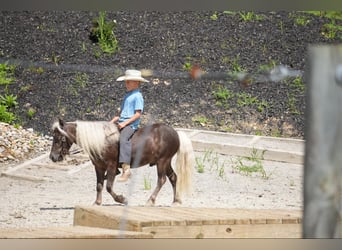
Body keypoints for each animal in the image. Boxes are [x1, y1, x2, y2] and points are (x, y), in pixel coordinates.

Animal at [48, 118, 194, 206]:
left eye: (60, 138)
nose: (53, 157)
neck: (102, 141)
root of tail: (176, 133)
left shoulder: (111, 166)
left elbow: (108, 186)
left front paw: (122, 199)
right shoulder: (99, 167)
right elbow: (99, 185)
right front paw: (97, 202)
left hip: (162, 161)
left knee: (162, 180)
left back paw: (151, 200)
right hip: (166, 162)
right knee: (173, 177)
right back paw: (176, 201)